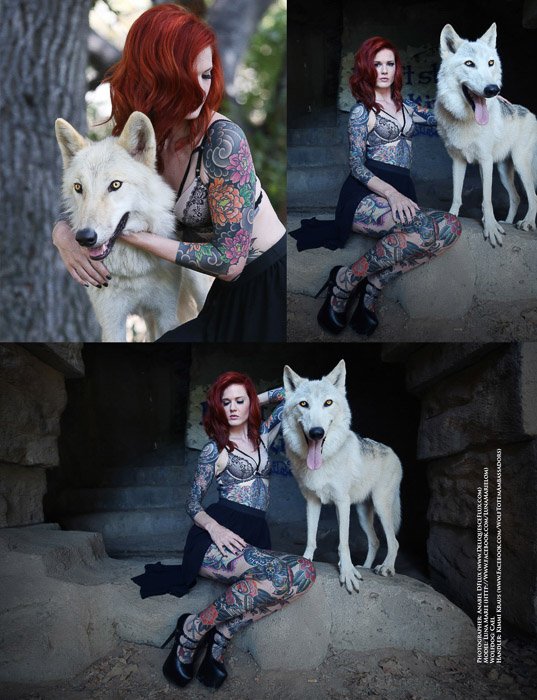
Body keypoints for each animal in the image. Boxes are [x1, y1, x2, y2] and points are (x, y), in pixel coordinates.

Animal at [55, 111, 211, 342]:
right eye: (78, 187)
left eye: (115, 185)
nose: (84, 237)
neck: (133, 269)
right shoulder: (112, 322)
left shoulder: (166, 314)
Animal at [282, 358, 400, 592]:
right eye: (303, 404)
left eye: (328, 403)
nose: (316, 432)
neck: (323, 462)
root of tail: (392, 452)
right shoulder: (312, 502)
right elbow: (311, 537)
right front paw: (306, 561)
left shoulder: (342, 503)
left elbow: (343, 543)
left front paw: (347, 573)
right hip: (363, 514)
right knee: (375, 541)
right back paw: (365, 567)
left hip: (381, 506)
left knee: (393, 542)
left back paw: (386, 568)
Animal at [436, 22, 536, 246]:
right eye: (469, 63)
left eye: (491, 63)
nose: (493, 89)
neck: (465, 120)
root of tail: (531, 112)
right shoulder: (458, 161)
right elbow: (457, 195)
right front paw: (452, 217)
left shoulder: (485, 161)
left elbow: (487, 200)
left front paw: (490, 227)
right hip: (504, 170)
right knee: (516, 197)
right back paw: (508, 222)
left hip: (520, 164)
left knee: (533, 195)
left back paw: (526, 223)